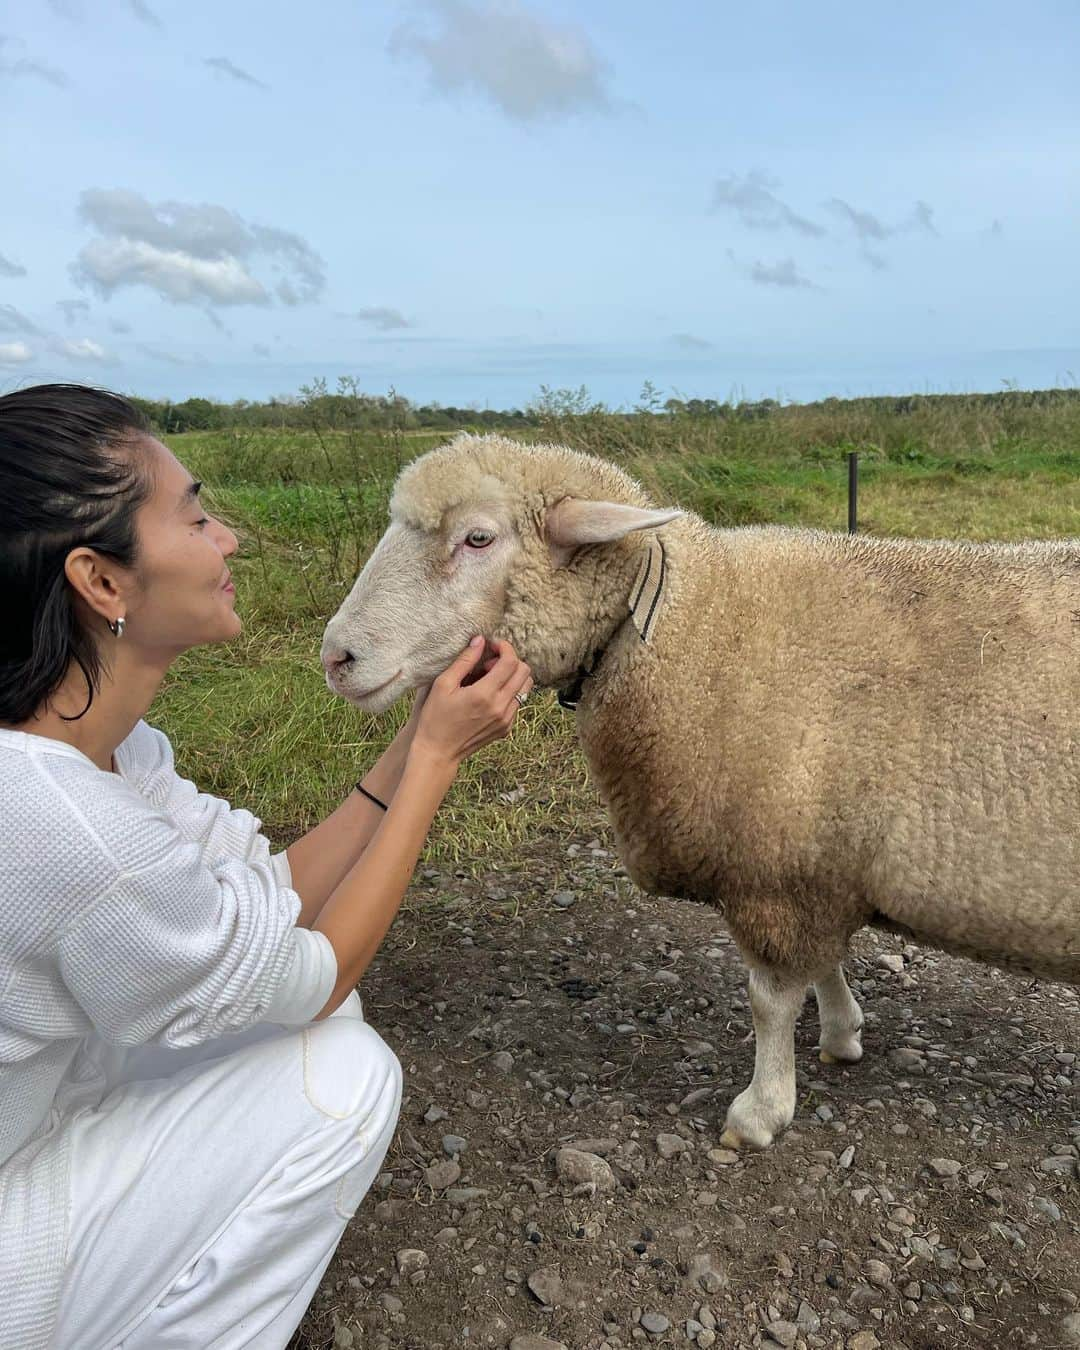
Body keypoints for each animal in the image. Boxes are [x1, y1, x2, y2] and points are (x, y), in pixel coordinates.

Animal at [321, 434, 1080, 1150]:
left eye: (478, 538)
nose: (336, 657)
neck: (691, 627)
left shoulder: (774, 870)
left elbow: (770, 1000)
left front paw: (761, 1110)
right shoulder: (818, 862)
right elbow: (826, 963)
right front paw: (842, 1032)